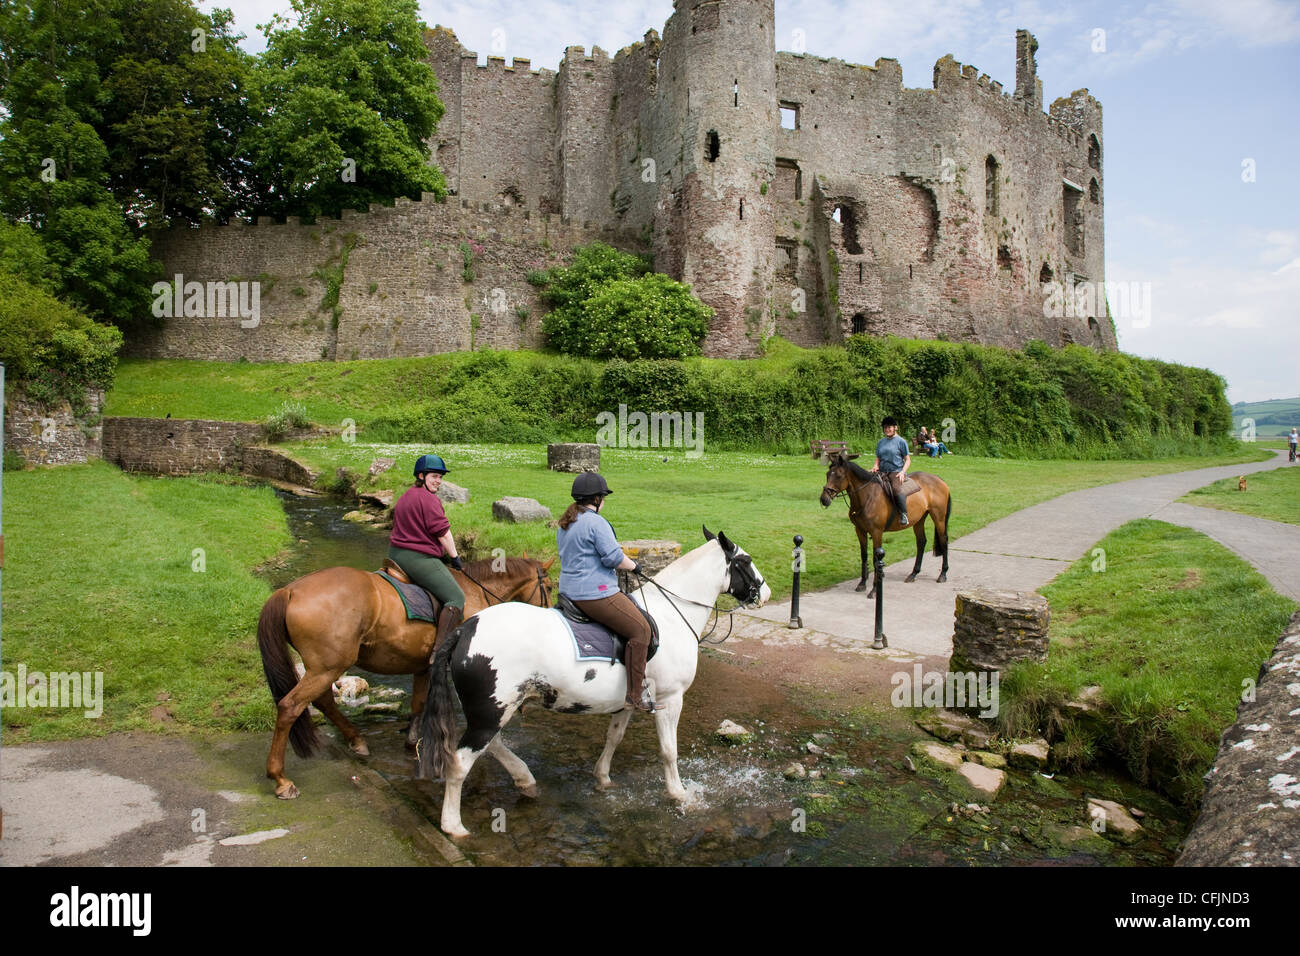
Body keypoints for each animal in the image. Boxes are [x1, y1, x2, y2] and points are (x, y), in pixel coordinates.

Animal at [258, 554, 553, 801]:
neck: (476, 593)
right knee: (290, 706)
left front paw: (412, 742)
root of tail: (290, 590)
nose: (553, 614)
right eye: (549, 588)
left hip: (324, 667)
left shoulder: (423, 668)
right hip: (327, 667)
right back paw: (280, 779)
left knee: (322, 702)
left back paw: (356, 740)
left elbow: (418, 703)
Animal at [416, 530, 764, 837]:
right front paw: (679, 793)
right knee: (461, 762)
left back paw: (524, 779)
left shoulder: (629, 701)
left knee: (493, 745)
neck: (671, 615)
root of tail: (465, 629)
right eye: (745, 561)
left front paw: (603, 778)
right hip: (491, 711)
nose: (765, 591)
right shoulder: (671, 698)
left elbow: (614, 738)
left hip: (496, 709)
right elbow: (668, 751)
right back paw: (454, 825)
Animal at [816, 455, 951, 598]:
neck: (867, 497)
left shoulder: (876, 532)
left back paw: (943, 574)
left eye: (839, 476)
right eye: (827, 474)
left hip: (939, 518)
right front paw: (862, 584)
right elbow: (864, 556)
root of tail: (939, 479)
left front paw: (875, 589)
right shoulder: (860, 531)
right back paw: (913, 574)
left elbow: (876, 560)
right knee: (921, 542)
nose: (824, 499)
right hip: (919, 520)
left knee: (943, 540)